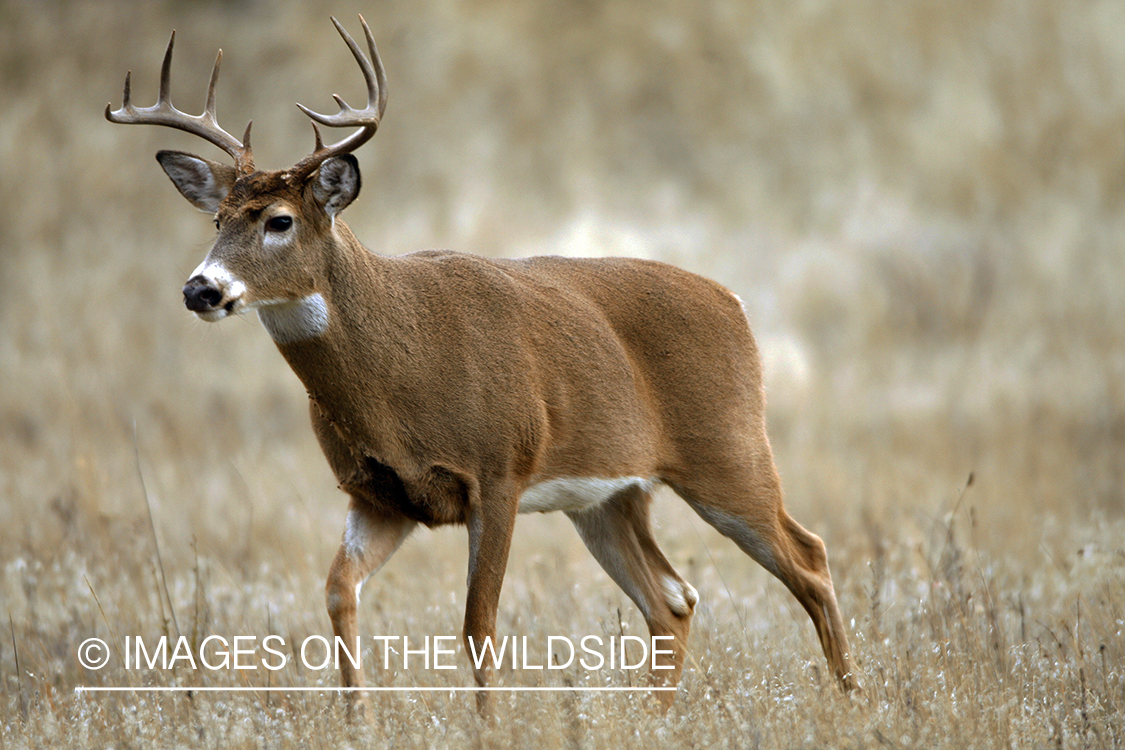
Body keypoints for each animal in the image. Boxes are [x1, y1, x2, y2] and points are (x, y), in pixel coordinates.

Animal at [107, 13, 859, 715]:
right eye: (217, 221)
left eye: (279, 221)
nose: (200, 289)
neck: (401, 370)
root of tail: (733, 302)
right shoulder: (377, 494)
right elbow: (337, 594)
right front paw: (358, 722)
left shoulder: (500, 470)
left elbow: (478, 623)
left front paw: (487, 724)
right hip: (610, 495)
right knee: (672, 598)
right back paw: (656, 718)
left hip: (727, 450)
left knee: (810, 557)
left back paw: (853, 699)